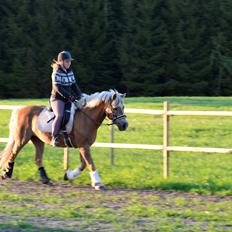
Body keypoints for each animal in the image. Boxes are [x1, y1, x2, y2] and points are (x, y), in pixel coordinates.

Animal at [0, 89, 128, 189]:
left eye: (123, 107)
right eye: (115, 108)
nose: (124, 125)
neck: (87, 117)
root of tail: (20, 109)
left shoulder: (83, 145)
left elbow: (83, 164)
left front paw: (68, 175)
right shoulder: (83, 146)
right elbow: (90, 163)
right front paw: (98, 183)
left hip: (38, 140)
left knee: (37, 159)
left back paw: (46, 179)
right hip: (21, 139)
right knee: (13, 153)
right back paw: (6, 174)